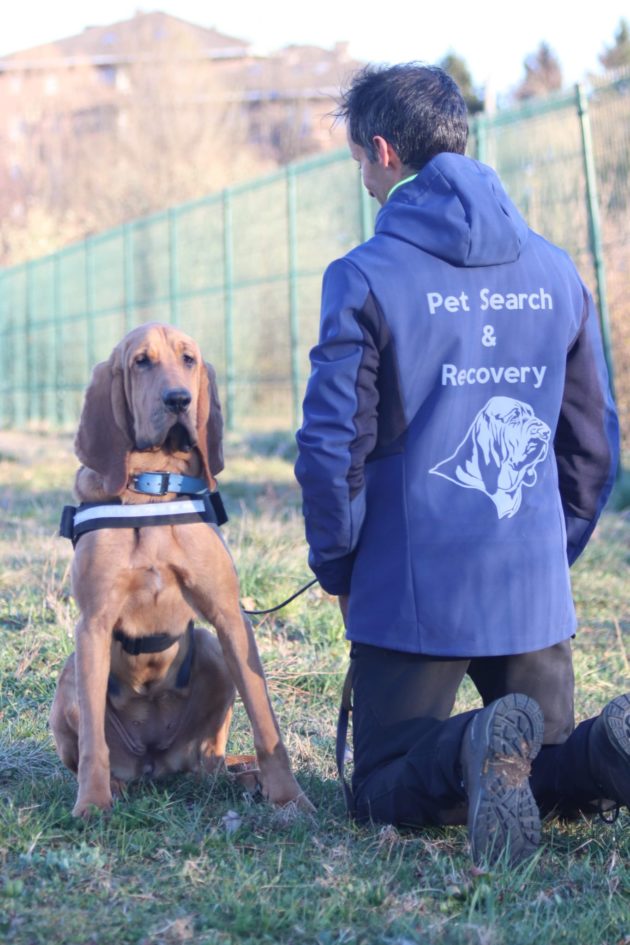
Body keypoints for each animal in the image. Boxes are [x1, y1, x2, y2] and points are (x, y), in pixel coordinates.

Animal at [49, 322, 312, 817]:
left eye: (188, 360)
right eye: (141, 362)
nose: (178, 400)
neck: (155, 487)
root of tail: (154, 760)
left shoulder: (230, 618)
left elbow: (266, 724)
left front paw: (290, 798)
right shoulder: (92, 625)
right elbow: (94, 741)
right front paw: (91, 805)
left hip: (210, 650)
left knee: (213, 762)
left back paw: (243, 780)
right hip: (73, 671)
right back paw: (116, 787)